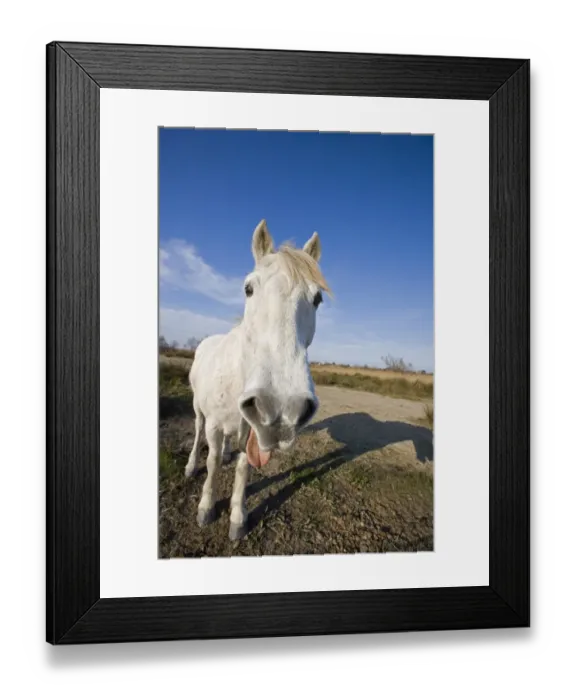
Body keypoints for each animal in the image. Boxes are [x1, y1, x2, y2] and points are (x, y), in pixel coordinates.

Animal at [185, 219, 331, 540]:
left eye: (317, 298)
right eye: (248, 288)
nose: (281, 409)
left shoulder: (252, 429)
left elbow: (243, 469)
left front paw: (237, 518)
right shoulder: (215, 424)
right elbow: (212, 463)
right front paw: (206, 507)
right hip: (198, 409)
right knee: (199, 433)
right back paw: (190, 466)